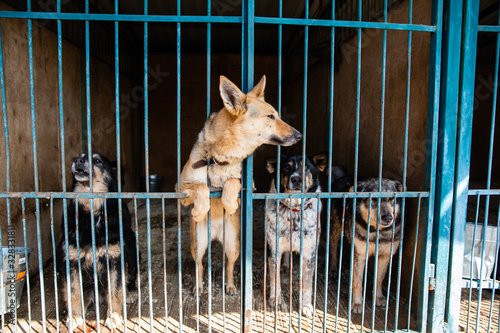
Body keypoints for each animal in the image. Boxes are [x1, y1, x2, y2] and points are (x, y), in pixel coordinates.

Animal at [56, 152, 138, 328]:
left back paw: (130, 292)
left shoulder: (115, 259)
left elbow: (115, 292)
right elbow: (73, 293)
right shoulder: (71, 260)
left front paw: (113, 317)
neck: (91, 212)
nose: (77, 161)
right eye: (80, 156)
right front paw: (74, 317)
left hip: (132, 248)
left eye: (98, 161)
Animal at [180, 74, 300, 294]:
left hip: (233, 245)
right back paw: (199, 287)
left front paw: (228, 204)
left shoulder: (249, 186)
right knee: (199, 264)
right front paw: (200, 209)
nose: (299, 135)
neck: (221, 158)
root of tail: (215, 234)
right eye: (271, 117)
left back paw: (230, 286)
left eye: (277, 115)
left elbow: (232, 182)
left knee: (229, 265)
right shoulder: (181, 190)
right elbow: (201, 187)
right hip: (197, 245)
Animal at [266, 152, 328, 316]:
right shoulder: (273, 250)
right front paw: (275, 298)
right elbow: (275, 278)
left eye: (306, 167)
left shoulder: (309, 253)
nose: (296, 179)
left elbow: (306, 283)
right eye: (286, 167)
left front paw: (305, 305)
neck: (294, 211)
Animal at [330, 178, 404, 312]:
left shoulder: (385, 255)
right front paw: (357, 303)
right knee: (333, 247)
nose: (388, 218)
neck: (377, 232)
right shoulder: (360, 255)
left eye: (392, 198)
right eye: (373, 198)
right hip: (337, 227)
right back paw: (333, 268)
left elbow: (379, 279)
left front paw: (378, 297)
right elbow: (358, 283)